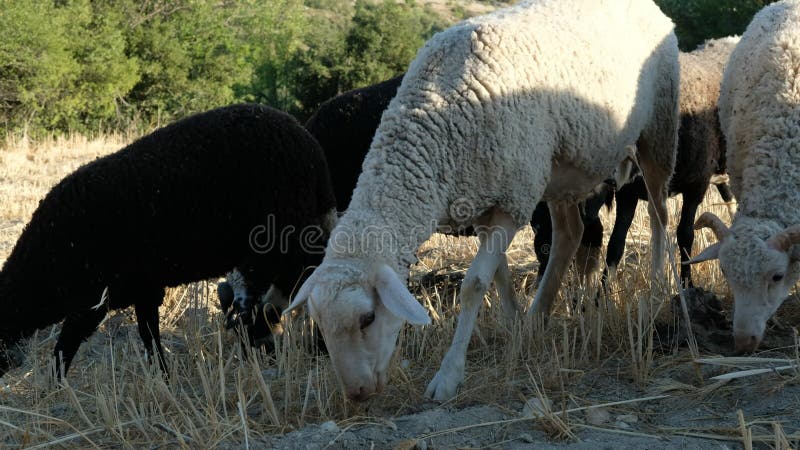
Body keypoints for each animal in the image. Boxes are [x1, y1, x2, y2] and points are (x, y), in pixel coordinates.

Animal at [0, 104, 336, 376]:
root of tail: (312, 149)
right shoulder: (143, 287)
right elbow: (149, 333)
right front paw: (162, 376)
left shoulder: (91, 301)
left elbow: (64, 349)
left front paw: (55, 388)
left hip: (282, 237)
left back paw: (314, 347)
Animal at [284, 0, 680, 400]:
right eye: (319, 323)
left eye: (367, 318)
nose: (357, 394)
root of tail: (649, 7)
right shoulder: (481, 199)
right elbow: (499, 272)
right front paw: (515, 323)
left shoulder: (511, 202)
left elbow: (474, 284)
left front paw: (448, 375)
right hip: (556, 169)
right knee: (570, 233)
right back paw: (539, 315)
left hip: (658, 131)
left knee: (659, 213)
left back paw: (659, 284)